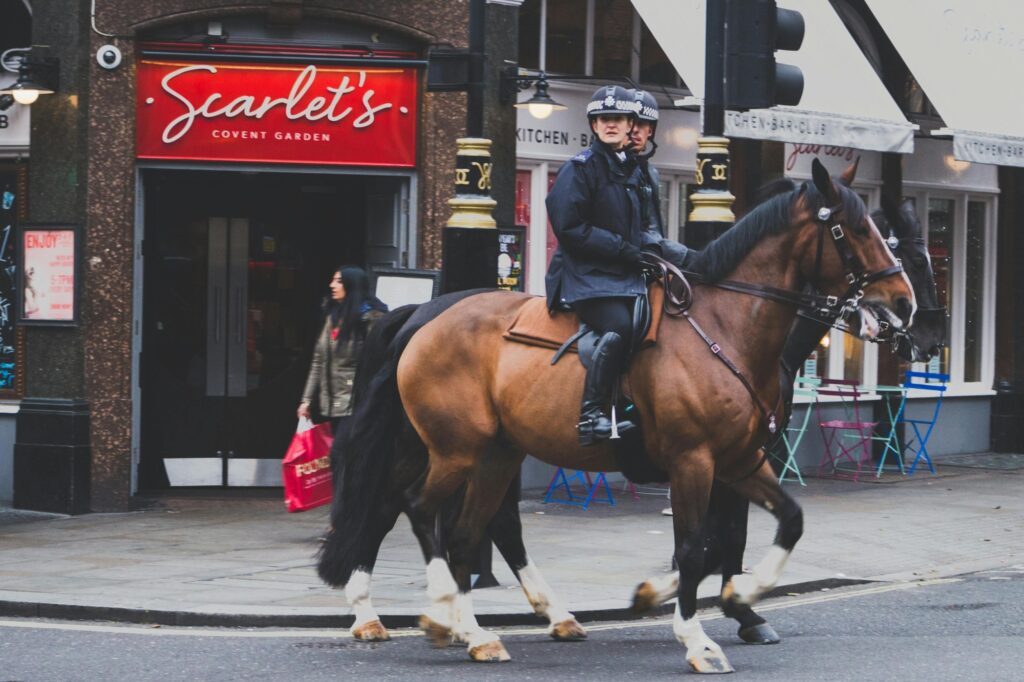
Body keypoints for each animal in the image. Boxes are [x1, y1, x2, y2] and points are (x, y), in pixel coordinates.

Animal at [319, 159, 913, 667]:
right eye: (855, 230)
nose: (905, 305)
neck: (726, 328)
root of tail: (426, 317)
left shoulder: (741, 461)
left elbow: (782, 522)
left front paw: (727, 595)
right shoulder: (693, 460)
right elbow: (695, 547)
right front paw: (697, 636)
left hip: (490, 452)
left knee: (459, 527)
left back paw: (471, 628)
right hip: (454, 448)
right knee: (417, 507)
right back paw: (440, 612)